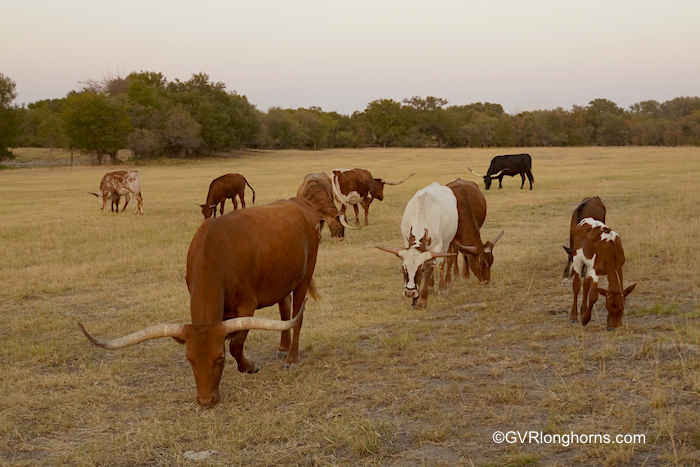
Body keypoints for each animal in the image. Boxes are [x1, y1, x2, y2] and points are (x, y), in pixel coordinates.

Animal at [78, 197, 322, 406]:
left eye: (219, 358)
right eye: (189, 360)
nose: (205, 400)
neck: (215, 251)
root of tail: (302, 203)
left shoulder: (247, 305)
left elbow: (235, 344)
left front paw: (250, 367)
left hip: (306, 273)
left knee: (297, 316)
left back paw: (292, 357)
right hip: (282, 280)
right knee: (285, 308)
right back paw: (282, 347)